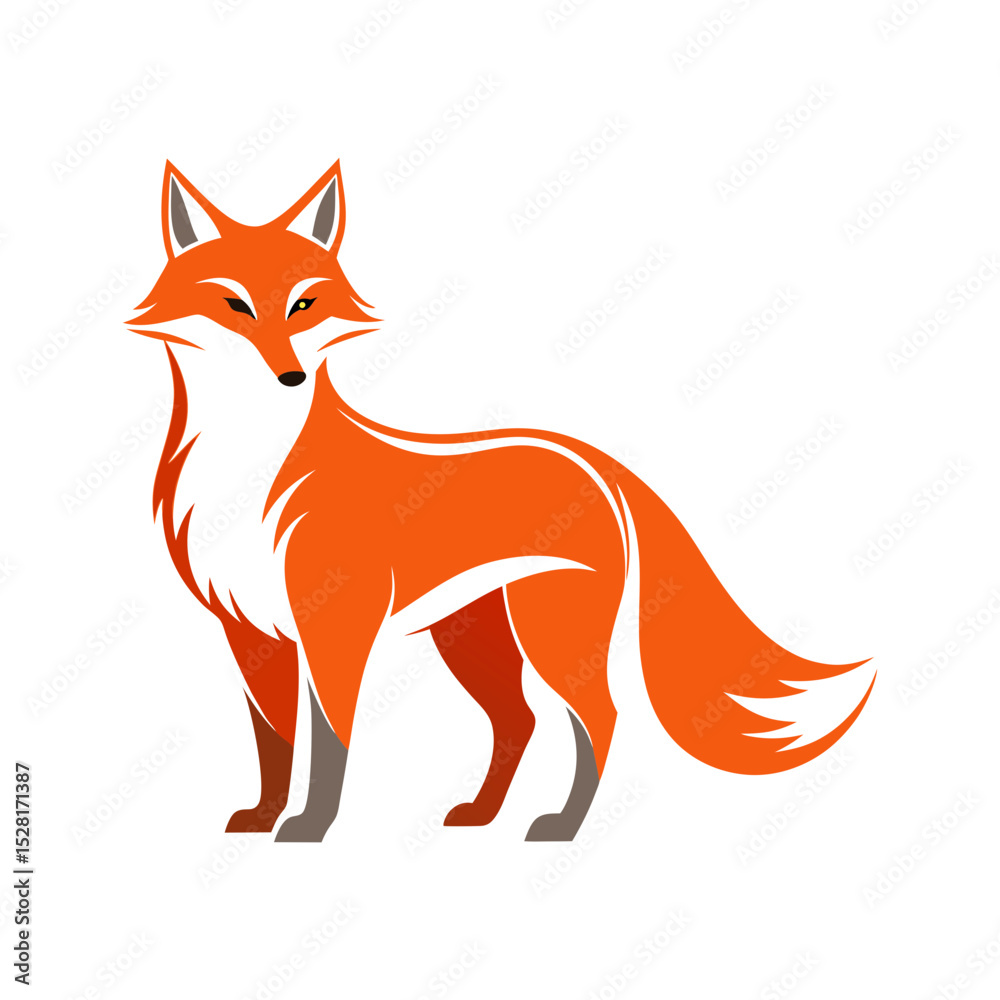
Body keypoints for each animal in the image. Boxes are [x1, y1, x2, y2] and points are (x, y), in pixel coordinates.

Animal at [128, 159, 874, 842]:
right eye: (235, 305)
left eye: (304, 305)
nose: (291, 377)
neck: (243, 471)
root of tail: (589, 459)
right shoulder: (252, 633)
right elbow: (274, 743)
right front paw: (263, 818)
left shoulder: (333, 627)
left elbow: (332, 740)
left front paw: (311, 825)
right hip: (476, 638)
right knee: (521, 720)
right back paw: (484, 815)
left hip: (550, 633)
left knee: (598, 718)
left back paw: (562, 826)